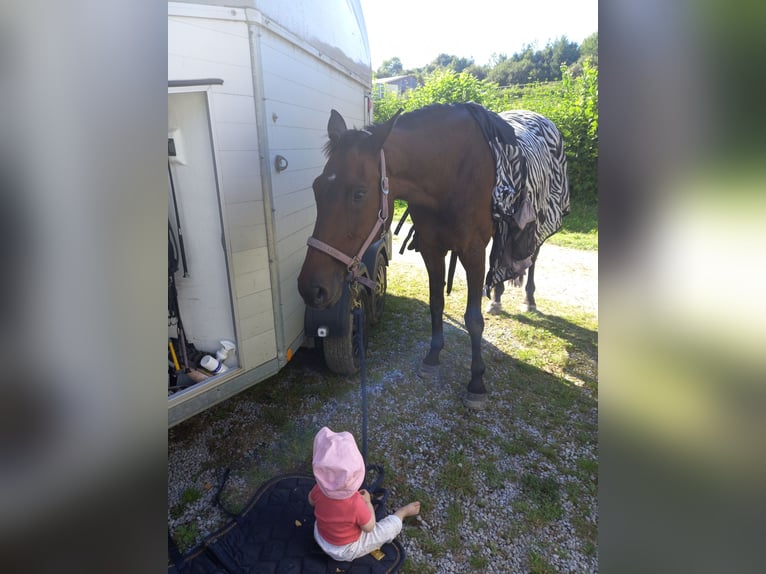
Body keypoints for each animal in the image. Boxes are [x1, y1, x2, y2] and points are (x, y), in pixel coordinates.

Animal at [298, 103, 568, 410]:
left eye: (359, 193)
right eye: (317, 187)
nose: (312, 288)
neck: (449, 172)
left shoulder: (473, 252)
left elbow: (473, 320)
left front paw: (477, 382)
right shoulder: (431, 249)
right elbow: (436, 303)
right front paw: (432, 357)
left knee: (532, 257)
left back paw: (529, 299)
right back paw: (497, 299)